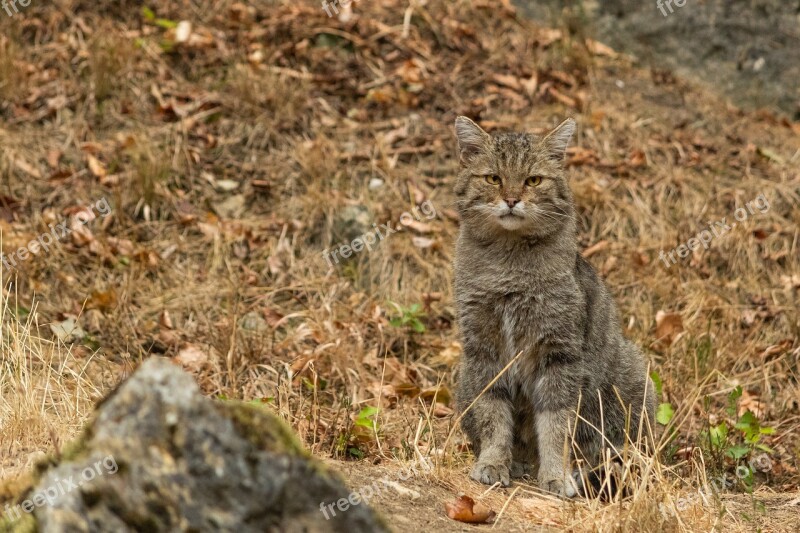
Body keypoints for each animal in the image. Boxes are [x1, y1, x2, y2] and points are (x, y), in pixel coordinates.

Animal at [454, 115, 652, 494]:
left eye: (533, 180)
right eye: (493, 178)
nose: (512, 199)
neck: (509, 269)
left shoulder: (559, 353)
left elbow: (555, 423)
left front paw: (555, 475)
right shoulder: (483, 349)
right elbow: (493, 416)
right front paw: (494, 463)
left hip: (635, 383)